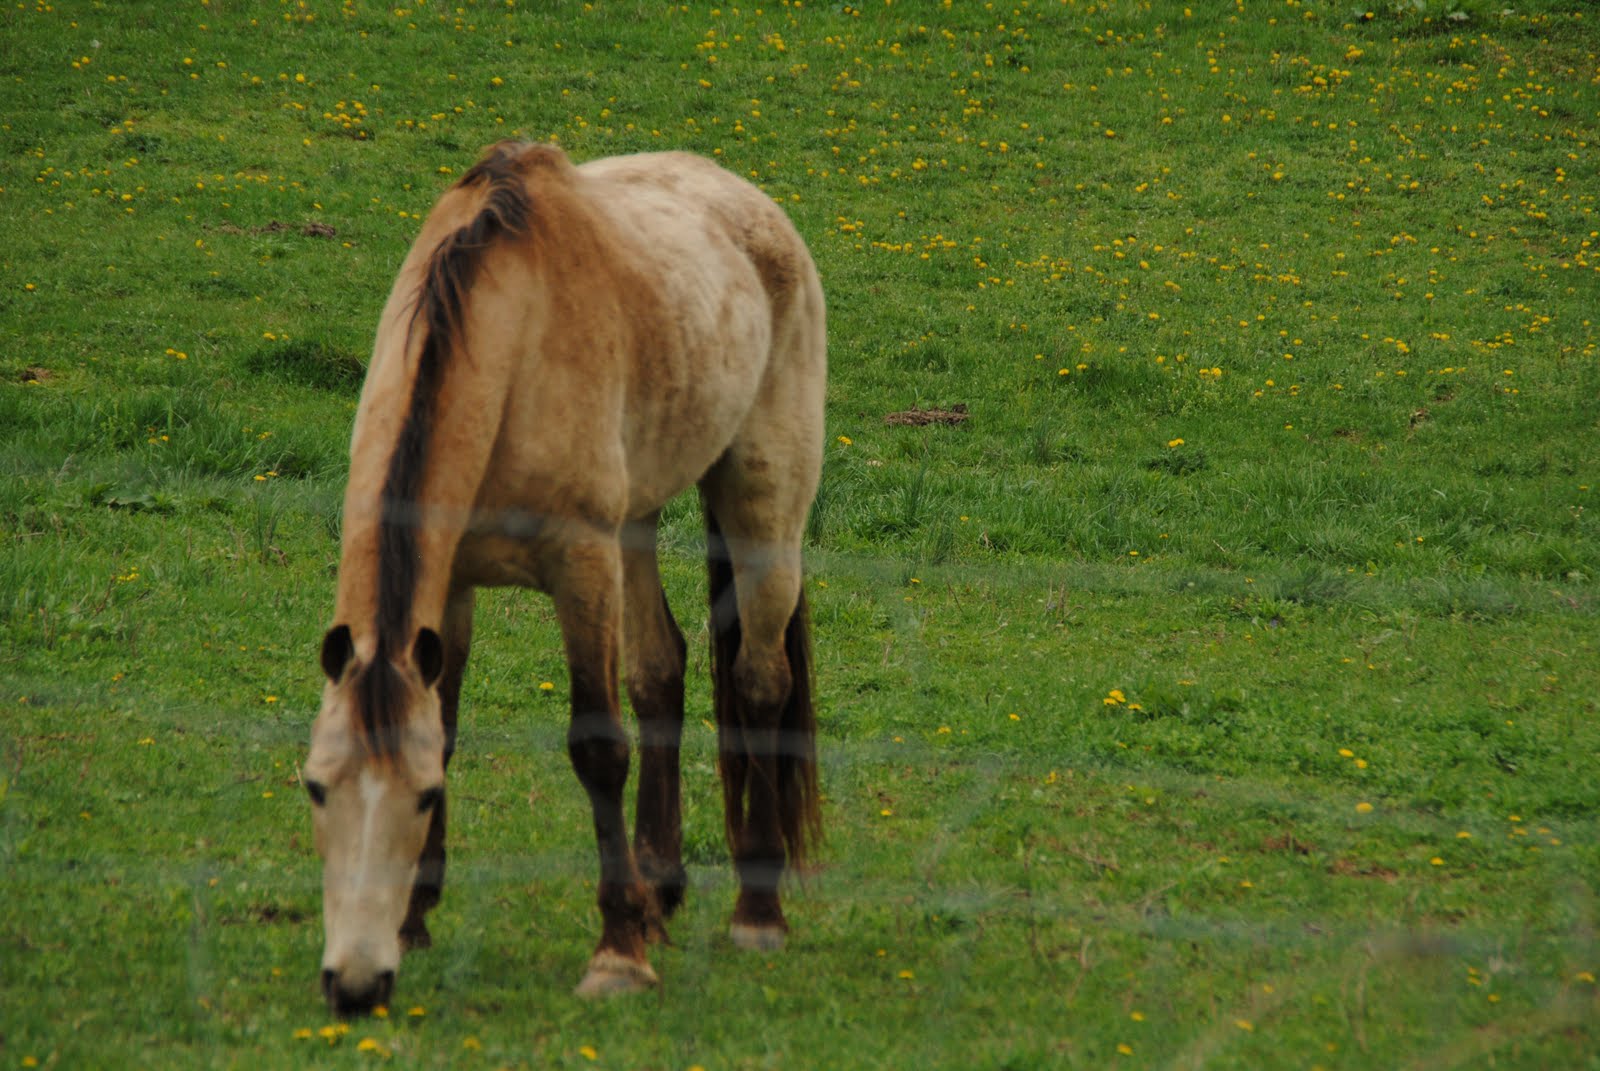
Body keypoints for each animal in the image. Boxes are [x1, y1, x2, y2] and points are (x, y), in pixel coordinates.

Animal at [301, 140, 825, 1015]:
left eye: (421, 797)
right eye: (315, 787)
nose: (355, 984)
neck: (510, 336)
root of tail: (751, 201)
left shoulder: (580, 566)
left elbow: (598, 746)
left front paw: (617, 953)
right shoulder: (451, 589)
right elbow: (447, 723)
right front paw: (415, 921)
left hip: (762, 506)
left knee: (760, 682)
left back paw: (757, 911)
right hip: (637, 523)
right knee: (662, 669)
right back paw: (659, 888)